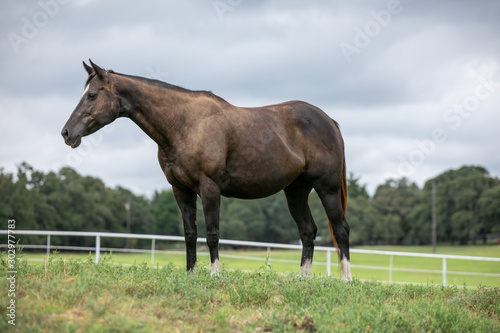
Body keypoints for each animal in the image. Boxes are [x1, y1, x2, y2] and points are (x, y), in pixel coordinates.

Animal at [61, 60, 352, 280]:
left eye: (92, 95)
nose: (67, 133)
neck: (184, 124)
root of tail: (329, 121)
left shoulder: (209, 189)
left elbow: (212, 234)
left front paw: (214, 274)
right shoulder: (180, 190)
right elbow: (190, 234)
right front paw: (191, 274)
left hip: (326, 189)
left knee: (340, 229)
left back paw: (346, 279)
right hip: (295, 191)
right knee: (308, 231)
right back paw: (303, 279)